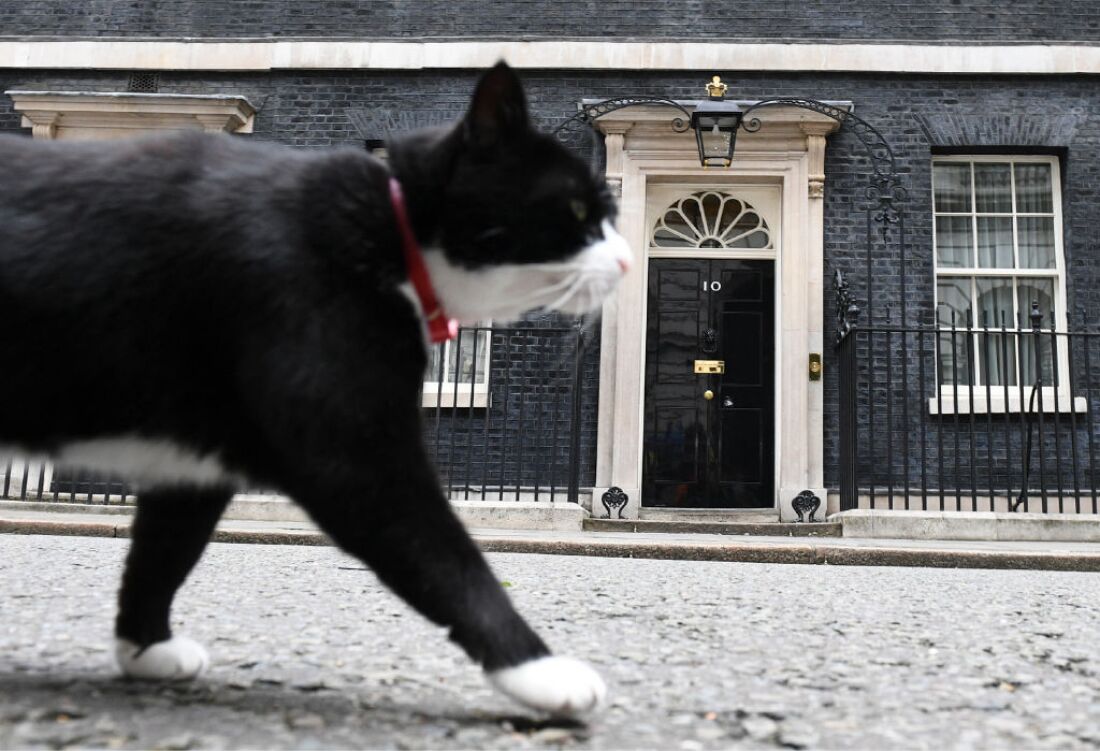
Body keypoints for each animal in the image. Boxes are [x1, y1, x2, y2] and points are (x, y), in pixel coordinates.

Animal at [0, 63, 633, 716]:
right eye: (578, 209)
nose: (628, 260)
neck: (391, 230)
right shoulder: (352, 451)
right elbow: (448, 560)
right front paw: (539, 668)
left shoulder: (196, 460)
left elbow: (165, 551)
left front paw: (144, 646)